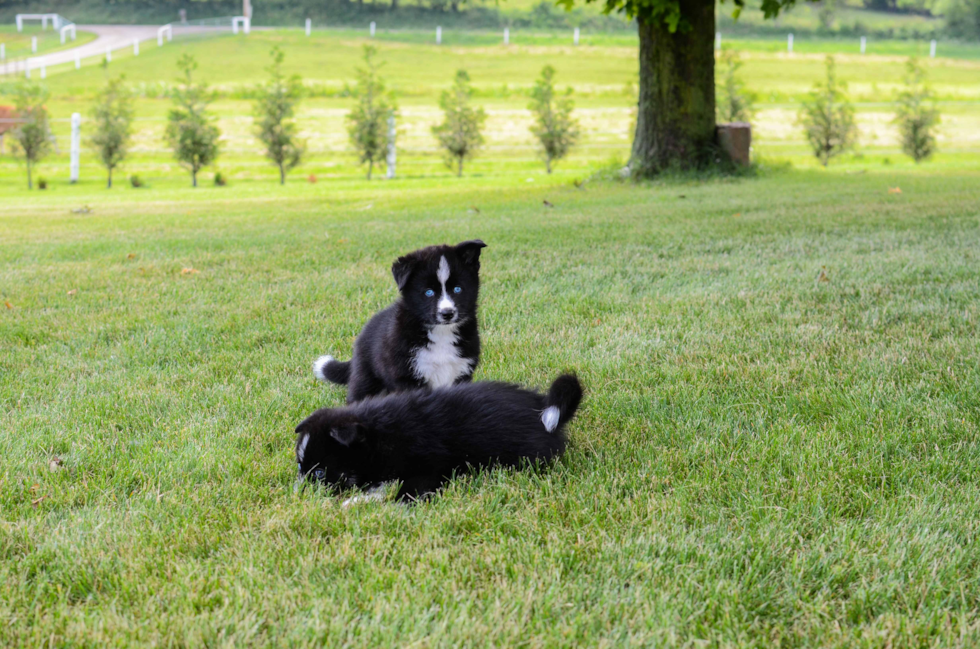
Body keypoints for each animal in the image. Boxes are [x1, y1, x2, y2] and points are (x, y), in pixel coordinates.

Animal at [290, 370, 580, 502]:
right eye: (300, 466)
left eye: (319, 473)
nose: (296, 492)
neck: (380, 434)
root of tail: (542, 406)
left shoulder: (429, 467)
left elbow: (408, 489)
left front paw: (396, 507)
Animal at [316, 240, 488, 402]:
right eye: (429, 292)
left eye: (458, 289)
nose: (447, 313)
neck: (441, 332)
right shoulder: (406, 376)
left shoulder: (462, 371)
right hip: (366, 376)